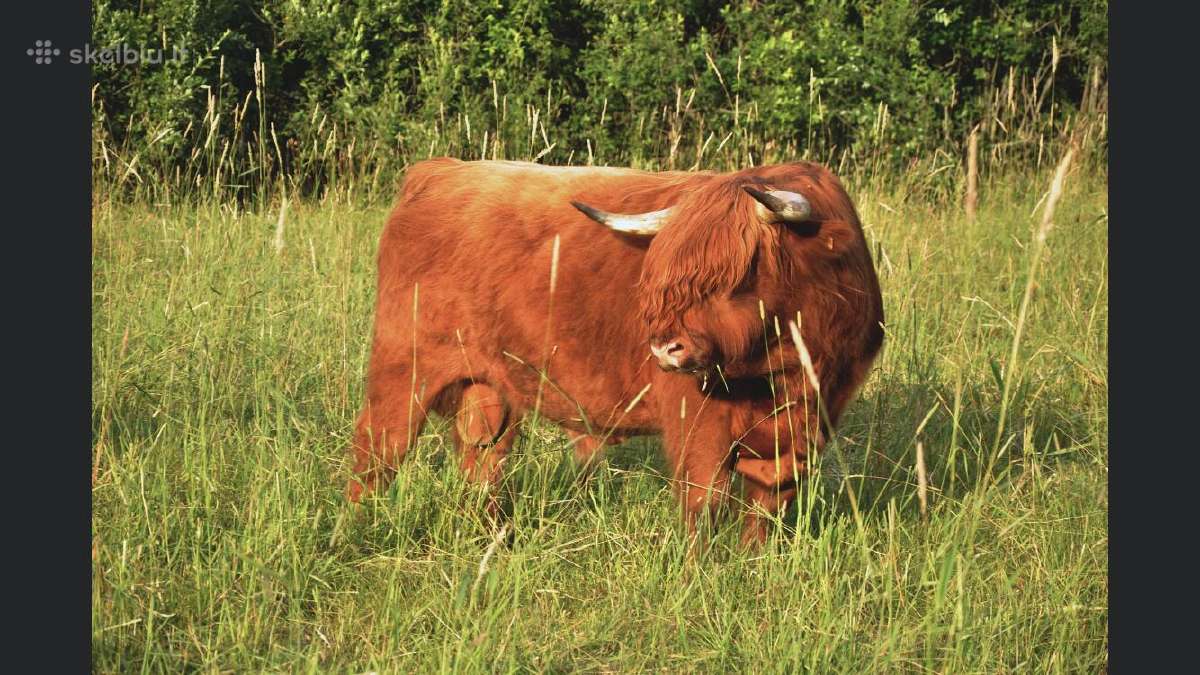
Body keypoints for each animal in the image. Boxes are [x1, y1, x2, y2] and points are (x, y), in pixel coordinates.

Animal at [346, 157, 884, 545]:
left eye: (745, 268)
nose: (666, 348)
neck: (784, 371)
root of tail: (439, 169)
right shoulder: (697, 420)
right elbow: (703, 498)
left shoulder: (808, 425)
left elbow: (767, 503)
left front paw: (753, 561)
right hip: (403, 369)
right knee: (377, 451)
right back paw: (356, 530)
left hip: (488, 387)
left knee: (483, 460)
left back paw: (492, 537)